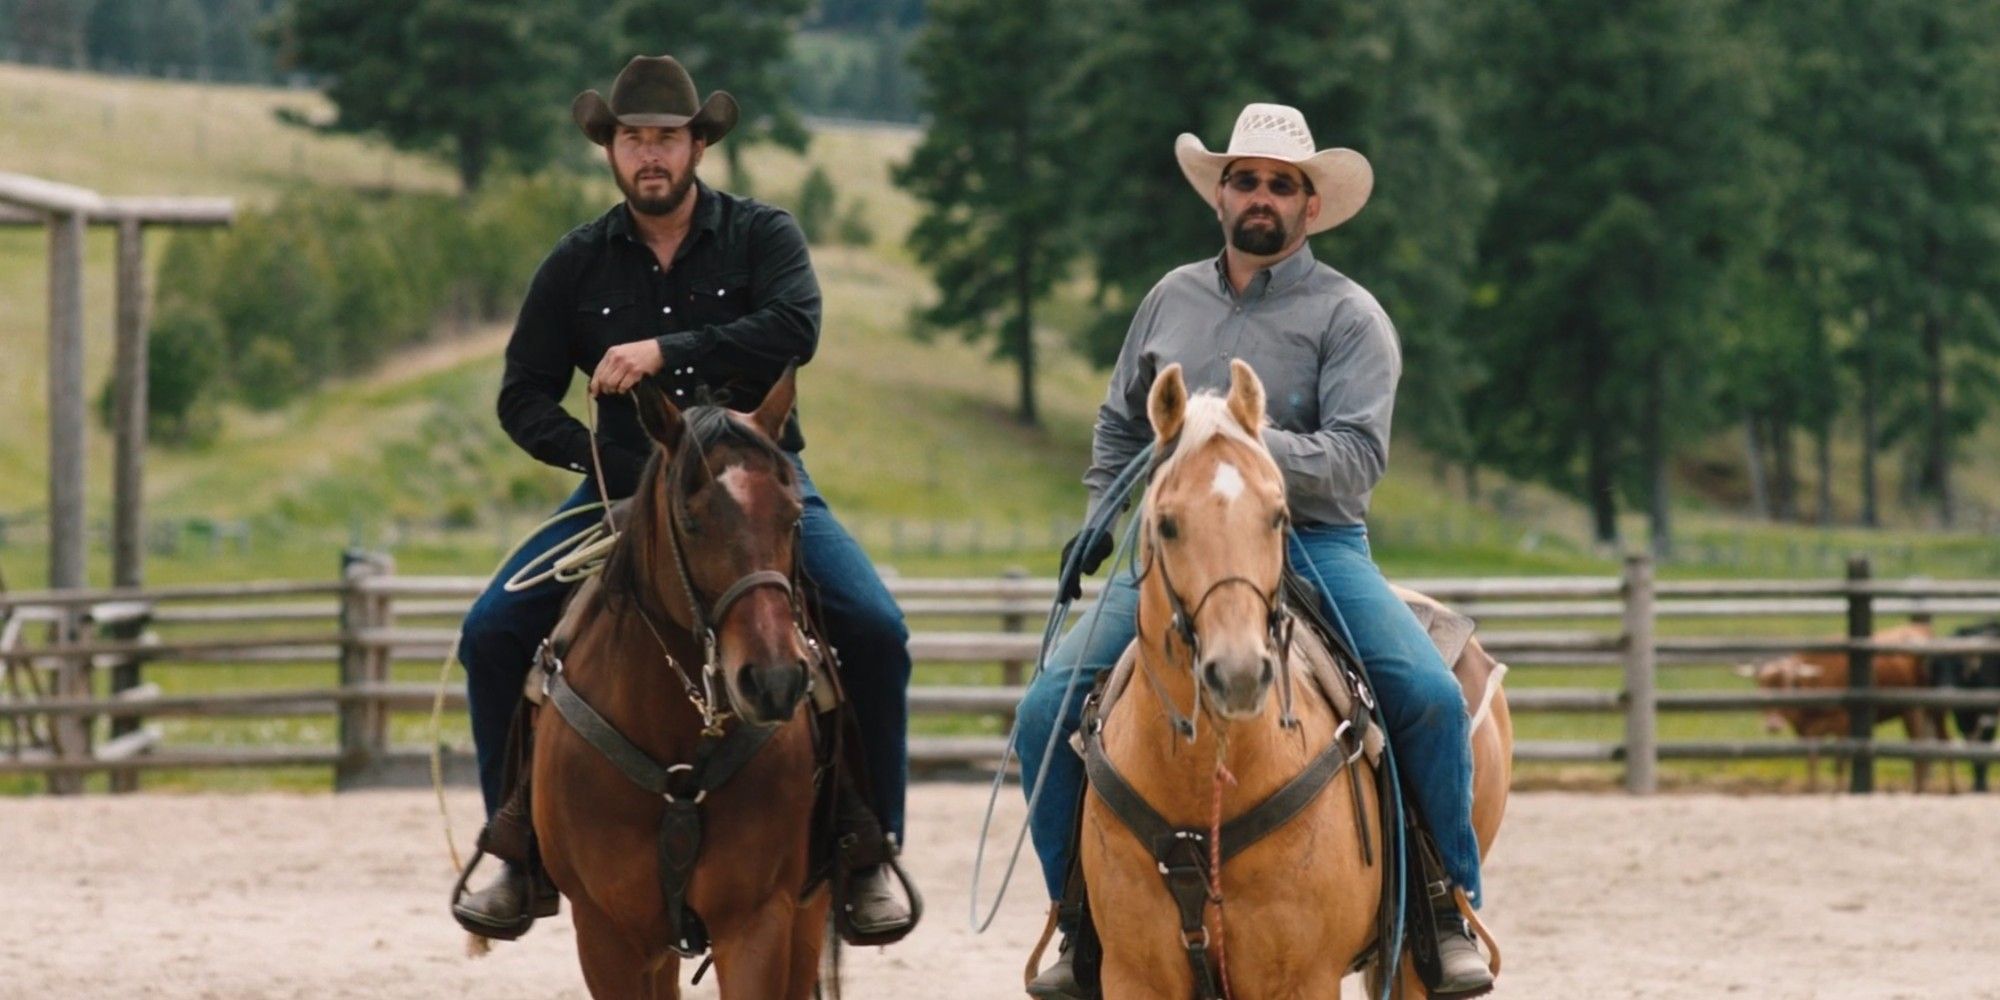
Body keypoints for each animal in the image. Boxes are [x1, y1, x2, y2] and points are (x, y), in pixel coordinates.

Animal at [1088, 364, 1504, 1000]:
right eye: (1168, 523)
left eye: (1278, 516)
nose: (1238, 672)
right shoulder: (1134, 975)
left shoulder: (1300, 977)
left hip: (1415, 958)